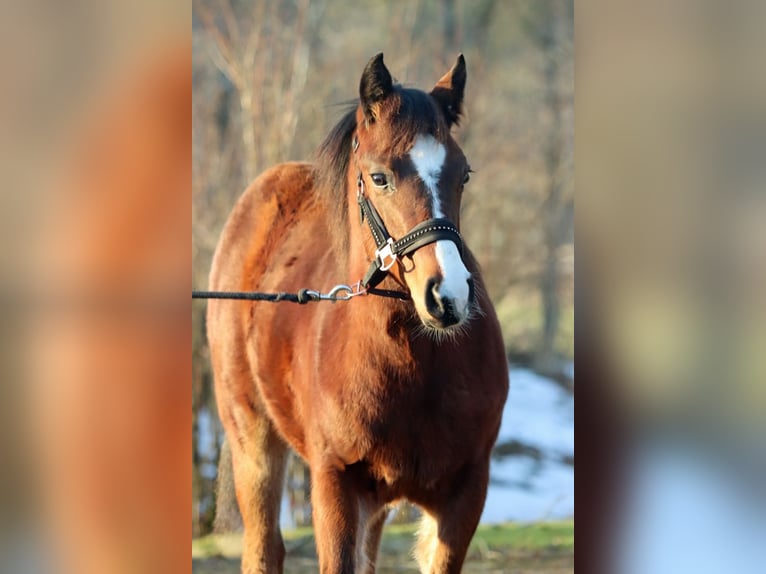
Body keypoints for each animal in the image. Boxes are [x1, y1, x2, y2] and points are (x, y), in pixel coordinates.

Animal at [207, 53, 509, 574]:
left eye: (463, 174)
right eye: (380, 176)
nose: (447, 297)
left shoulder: (464, 493)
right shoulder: (335, 485)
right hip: (252, 438)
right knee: (263, 546)